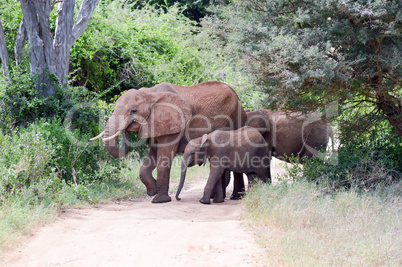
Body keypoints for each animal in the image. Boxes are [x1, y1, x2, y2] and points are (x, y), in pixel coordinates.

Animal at [91, 81, 247, 203]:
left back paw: (234, 198)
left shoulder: (173, 125)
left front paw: (159, 200)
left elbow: (164, 158)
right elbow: (151, 157)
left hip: (237, 119)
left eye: (133, 110)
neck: (150, 94)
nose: (126, 130)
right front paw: (153, 191)